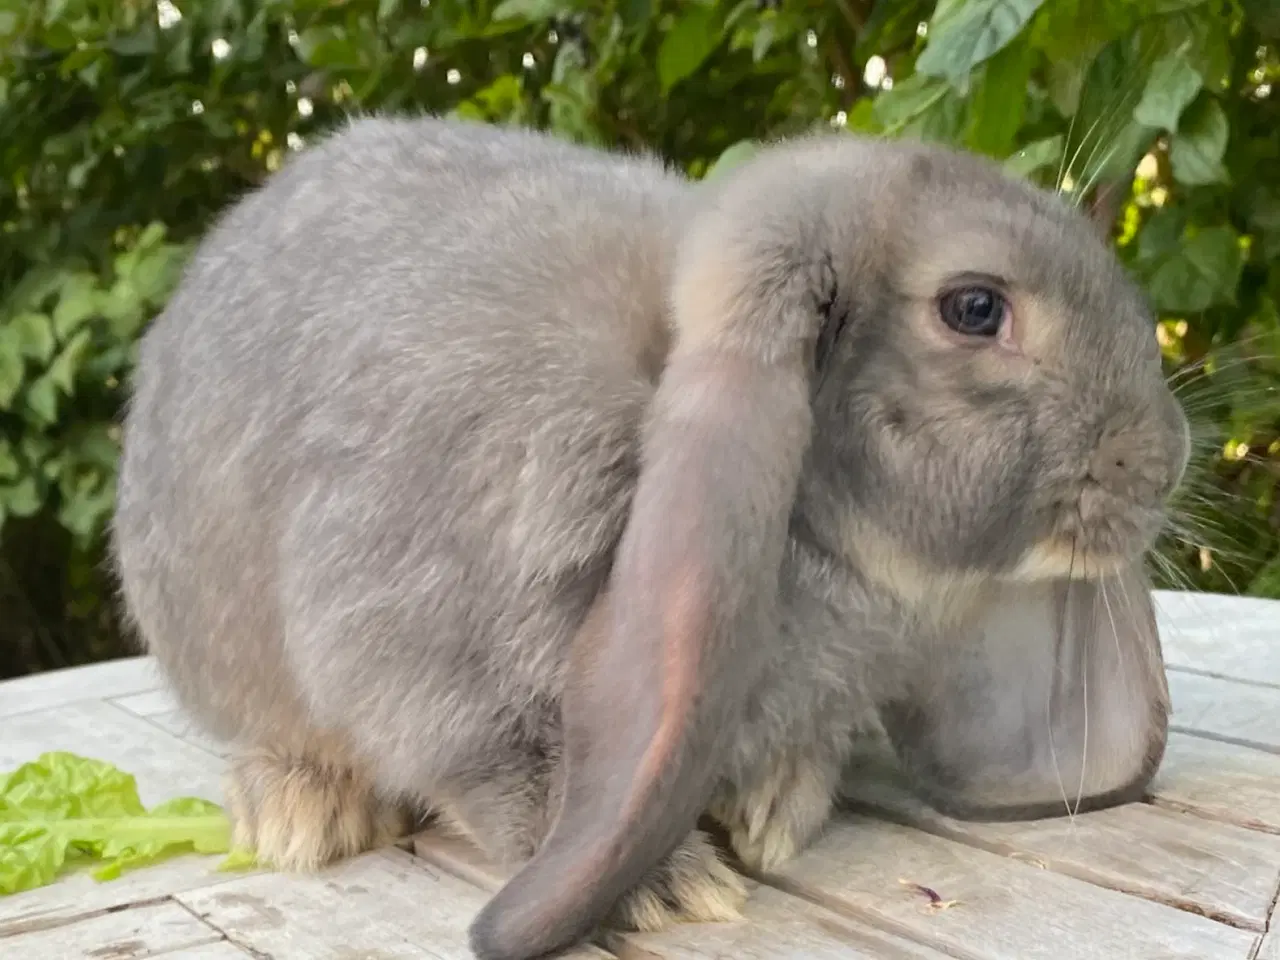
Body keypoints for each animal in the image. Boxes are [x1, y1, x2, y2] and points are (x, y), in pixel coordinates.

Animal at [110, 116, 1187, 960]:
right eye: (974, 307)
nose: (1167, 458)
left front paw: (769, 816)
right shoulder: (422, 653)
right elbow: (509, 772)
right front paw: (670, 890)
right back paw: (303, 812)